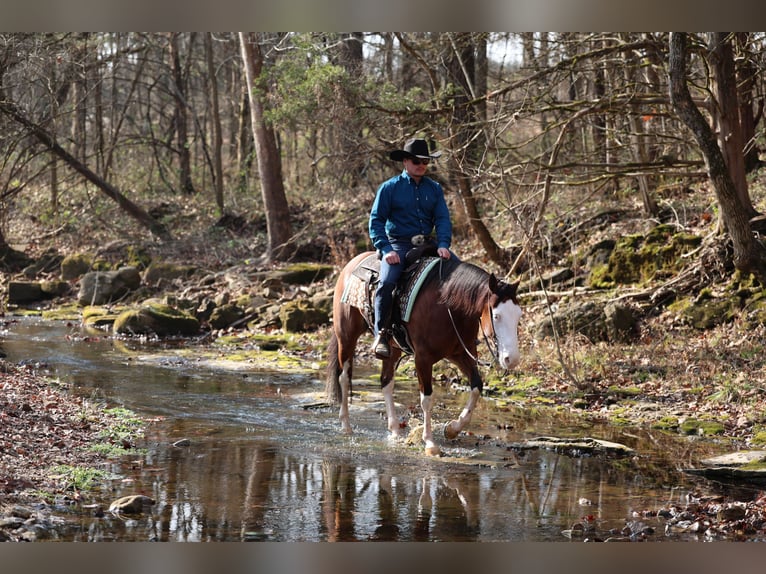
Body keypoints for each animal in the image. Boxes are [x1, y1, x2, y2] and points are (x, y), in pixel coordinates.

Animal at [325, 251, 522, 456]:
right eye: (497, 316)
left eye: (519, 315)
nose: (512, 359)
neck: (448, 306)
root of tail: (353, 262)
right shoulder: (423, 358)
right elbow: (427, 398)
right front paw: (430, 442)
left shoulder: (460, 354)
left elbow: (476, 387)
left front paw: (452, 429)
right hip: (346, 337)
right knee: (344, 378)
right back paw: (346, 426)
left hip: (393, 348)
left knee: (386, 382)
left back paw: (395, 430)